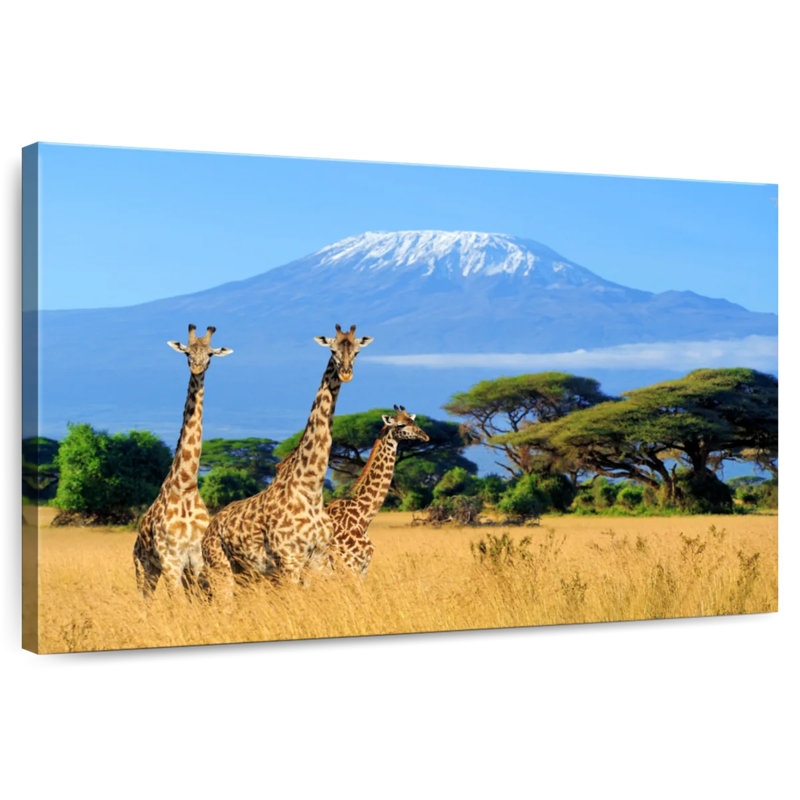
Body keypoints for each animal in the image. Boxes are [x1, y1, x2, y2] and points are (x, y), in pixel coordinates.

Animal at [133, 324, 233, 599]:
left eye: (210, 355)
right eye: (187, 353)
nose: (197, 368)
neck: (186, 485)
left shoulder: (196, 559)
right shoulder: (171, 560)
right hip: (144, 568)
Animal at [200, 323, 373, 590]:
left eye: (357, 352)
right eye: (332, 350)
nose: (346, 374)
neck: (311, 489)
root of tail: (209, 529)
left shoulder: (318, 559)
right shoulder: (289, 560)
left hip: (245, 574)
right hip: (220, 568)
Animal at [326, 405, 429, 575]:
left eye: (413, 421)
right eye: (401, 425)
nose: (425, 436)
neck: (363, 518)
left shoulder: (363, 567)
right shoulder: (350, 564)